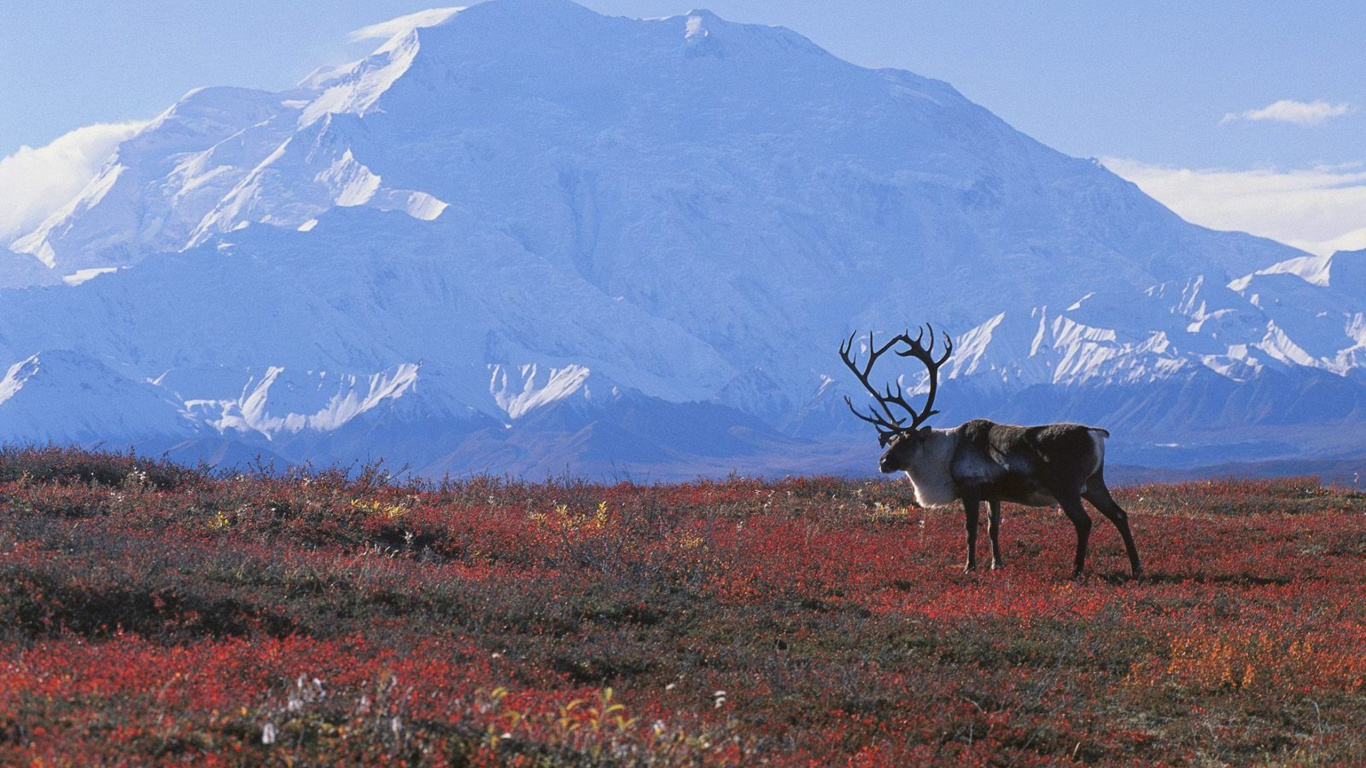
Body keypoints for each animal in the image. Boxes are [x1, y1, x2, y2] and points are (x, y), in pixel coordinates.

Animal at [839, 325, 1143, 578]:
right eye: (891, 440)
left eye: (906, 441)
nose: (883, 462)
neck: (946, 453)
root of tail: (1095, 433)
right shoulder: (993, 495)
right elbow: (992, 529)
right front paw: (997, 564)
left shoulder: (970, 490)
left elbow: (971, 530)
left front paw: (969, 567)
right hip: (1094, 483)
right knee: (1119, 515)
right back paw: (1136, 568)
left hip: (1066, 487)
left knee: (1084, 522)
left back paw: (1077, 570)